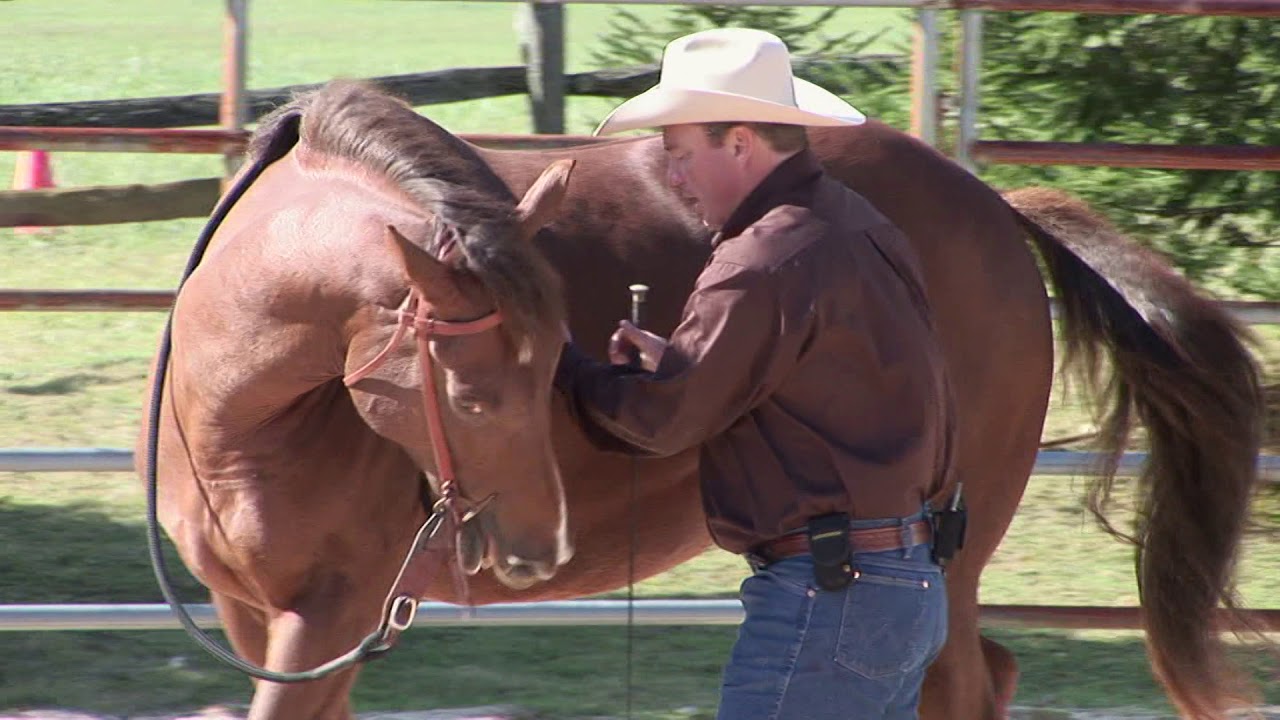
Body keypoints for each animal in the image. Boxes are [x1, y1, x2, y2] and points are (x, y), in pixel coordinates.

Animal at [139, 79, 1266, 719]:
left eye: (538, 374)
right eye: (469, 392)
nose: (536, 549)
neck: (241, 408)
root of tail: (992, 204)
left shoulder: (330, 616)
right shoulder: (258, 617)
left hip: (957, 547)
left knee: (962, 686)